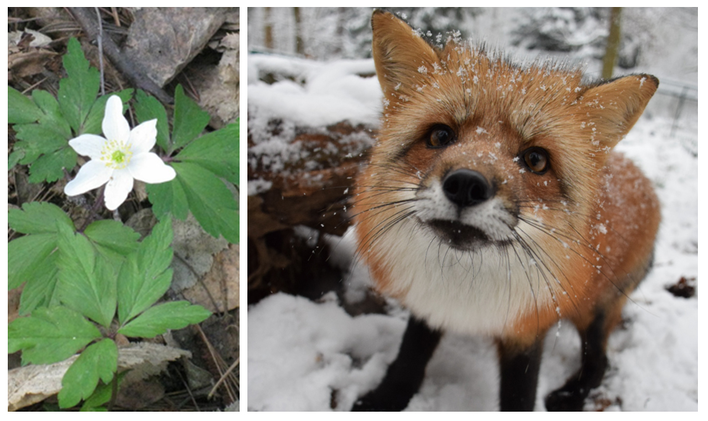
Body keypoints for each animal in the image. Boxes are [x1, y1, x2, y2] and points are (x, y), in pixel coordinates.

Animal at [352, 9, 660, 410]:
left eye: (536, 159)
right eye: (439, 136)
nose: (466, 185)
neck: (465, 286)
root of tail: (646, 183)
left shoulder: (528, 331)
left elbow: (519, 394)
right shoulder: (429, 305)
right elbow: (409, 359)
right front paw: (383, 400)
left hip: (593, 311)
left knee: (601, 362)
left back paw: (571, 396)